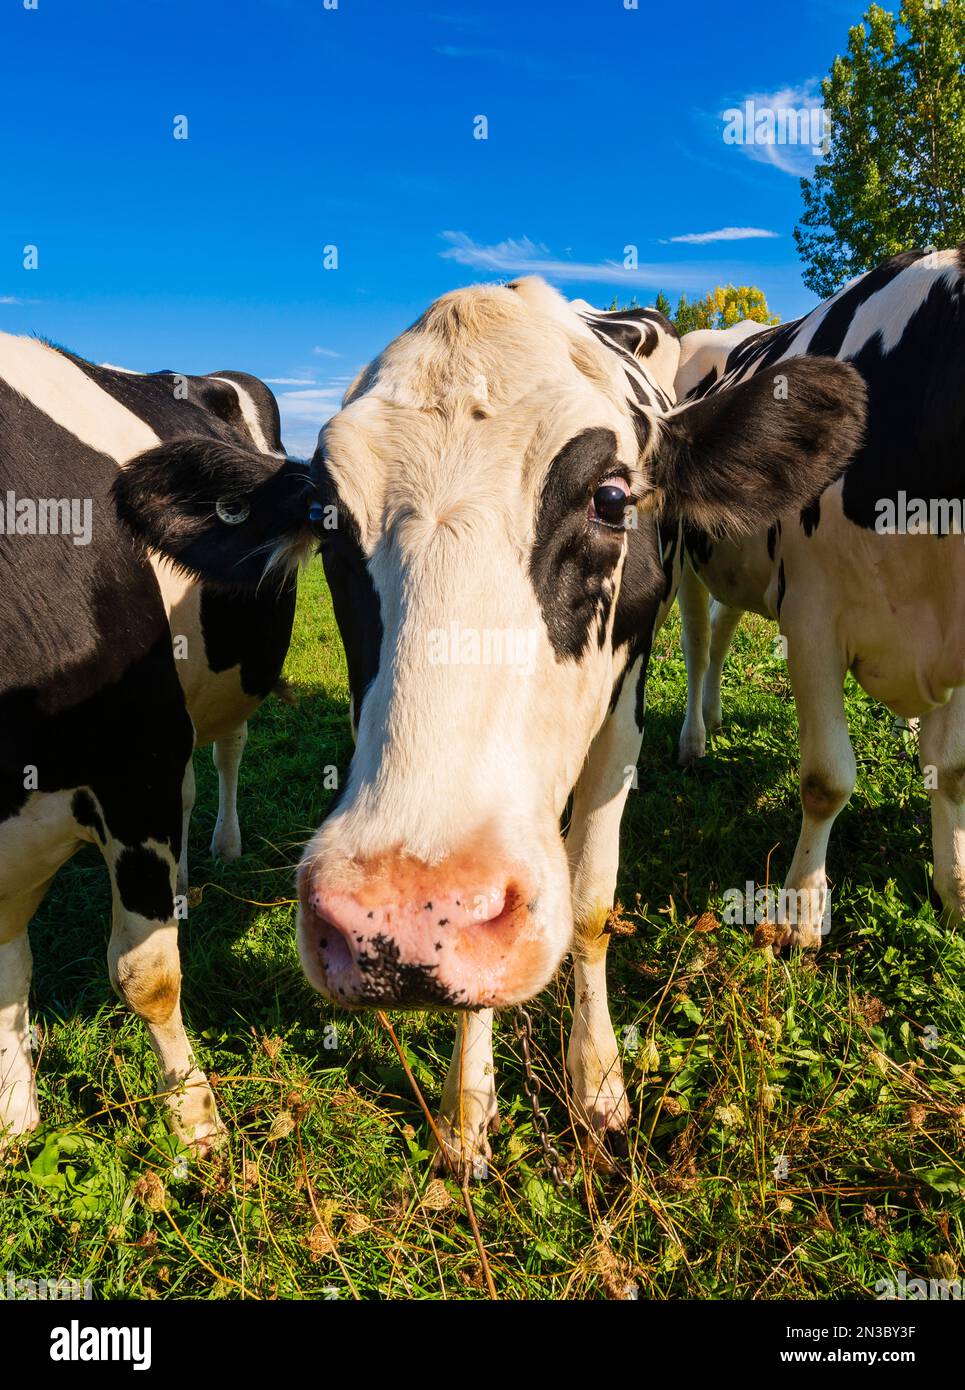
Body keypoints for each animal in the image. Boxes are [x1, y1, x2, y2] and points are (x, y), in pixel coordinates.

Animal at [0, 330, 310, 1145]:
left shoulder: (135, 771)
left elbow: (146, 976)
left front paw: (196, 1120)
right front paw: (14, 1116)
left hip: (229, 686)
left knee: (226, 754)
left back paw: (222, 847)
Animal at [672, 244, 965, 950]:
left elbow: (952, 769)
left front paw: (956, 890)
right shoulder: (811, 618)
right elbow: (826, 779)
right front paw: (800, 909)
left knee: (724, 625)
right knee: (697, 639)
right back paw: (694, 739)